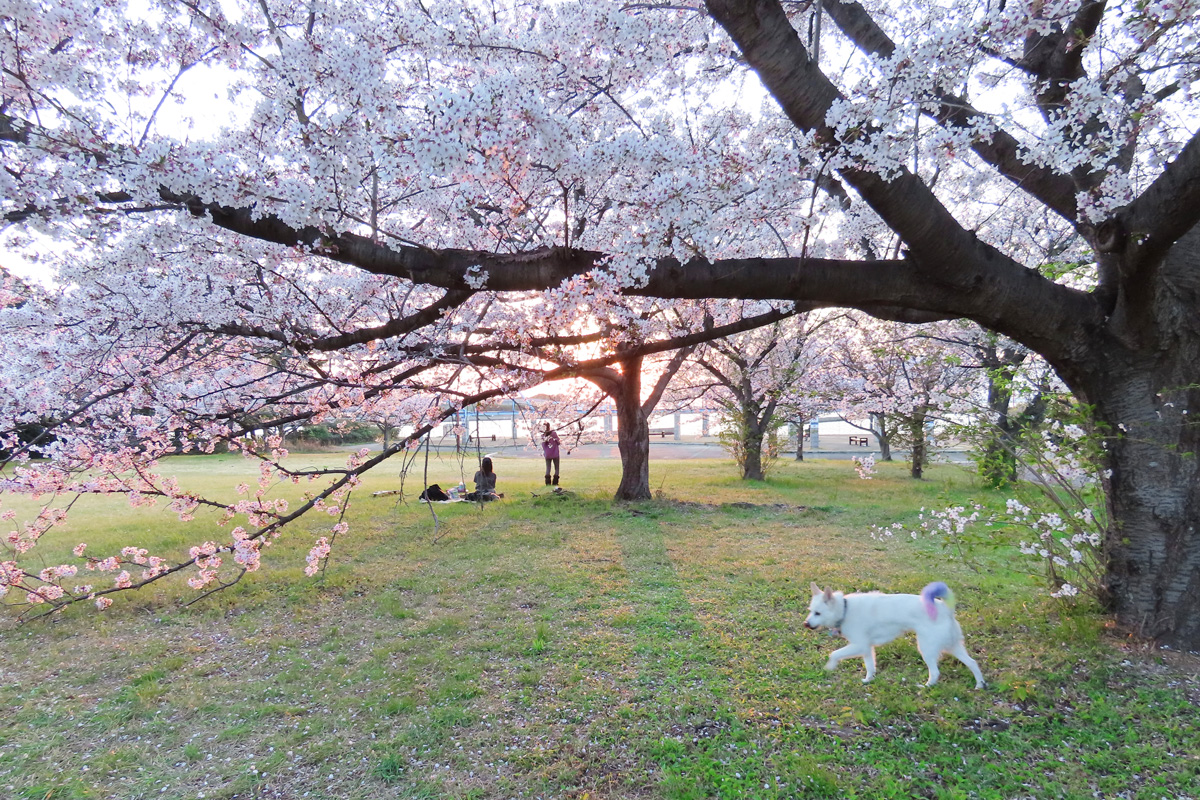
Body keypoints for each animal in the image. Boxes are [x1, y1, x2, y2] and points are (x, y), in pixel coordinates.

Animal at [806, 582, 984, 690]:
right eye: (810, 611)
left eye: (818, 613)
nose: (806, 624)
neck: (845, 609)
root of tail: (946, 609)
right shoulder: (866, 649)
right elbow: (870, 667)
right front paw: (868, 680)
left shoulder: (859, 645)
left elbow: (834, 653)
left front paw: (829, 667)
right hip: (953, 646)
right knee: (972, 663)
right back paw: (980, 685)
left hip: (926, 649)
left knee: (935, 672)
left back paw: (926, 687)